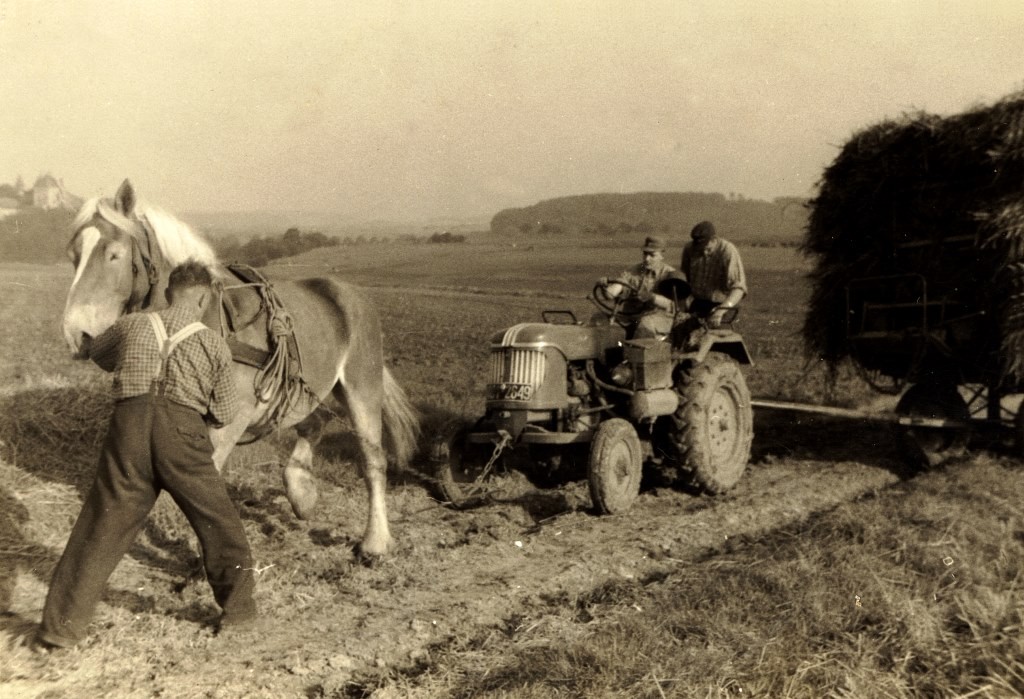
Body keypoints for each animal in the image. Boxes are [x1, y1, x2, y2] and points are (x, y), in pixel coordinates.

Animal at [58, 179, 419, 556]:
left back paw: (374, 541)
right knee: (314, 423)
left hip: (363, 386)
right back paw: (302, 492)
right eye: (73, 256)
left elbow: (206, 479)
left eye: (114, 254)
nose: (76, 334)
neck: (198, 318)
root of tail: (348, 293)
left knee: (372, 460)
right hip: (302, 390)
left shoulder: (231, 417)